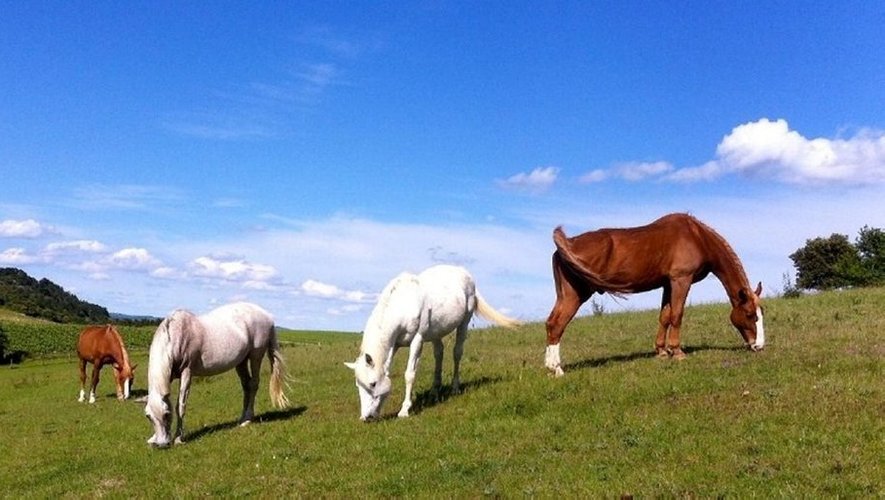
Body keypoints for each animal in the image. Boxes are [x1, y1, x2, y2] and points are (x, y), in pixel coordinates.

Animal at [144, 302, 290, 448]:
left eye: (167, 414)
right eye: (148, 416)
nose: (161, 444)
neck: (175, 336)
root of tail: (267, 315)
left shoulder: (187, 372)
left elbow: (180, 406)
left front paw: (179, 438)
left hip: (256, 356)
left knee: (253, 384)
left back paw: (248, 419)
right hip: (241, 361)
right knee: (246, 385)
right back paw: (242, 418)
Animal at [344, 264, 521, 421]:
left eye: (373, 384)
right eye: (358, 385)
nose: (366, 417)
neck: (403, 304)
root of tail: (464, 272)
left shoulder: (417, 340)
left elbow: (410, 374)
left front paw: (404, 410)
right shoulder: (394, 345)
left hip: (464, 321)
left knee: (457, 353)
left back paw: (455, 388)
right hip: (437, 332)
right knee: (439, 354)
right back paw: (435, 392)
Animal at [545, 213, 765, 376]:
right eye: (749, 315)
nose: (759, 346)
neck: (697, 237)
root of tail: (566, 243)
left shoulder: (667, 284)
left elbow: (664, 316)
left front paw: (661, 351)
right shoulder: (680, 280)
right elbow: (677, 314)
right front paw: (677, 351)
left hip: (565, 295)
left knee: (551, 323)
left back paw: (550, 367)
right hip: (575, 295)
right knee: (557, 325)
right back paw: (557, 369)